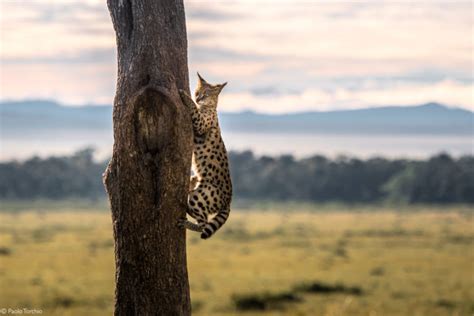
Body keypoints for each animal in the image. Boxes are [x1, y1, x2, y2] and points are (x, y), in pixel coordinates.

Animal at [179, 73, 232, 238]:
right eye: (197, 91)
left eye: (206, 94)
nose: (197, 97)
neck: (210, 107)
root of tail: (229, 202)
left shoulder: (200, 123)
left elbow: (193, 109)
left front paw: (184, 95)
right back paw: (191, 183)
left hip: (200, 196)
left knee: (203, 225)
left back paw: (185, 221)